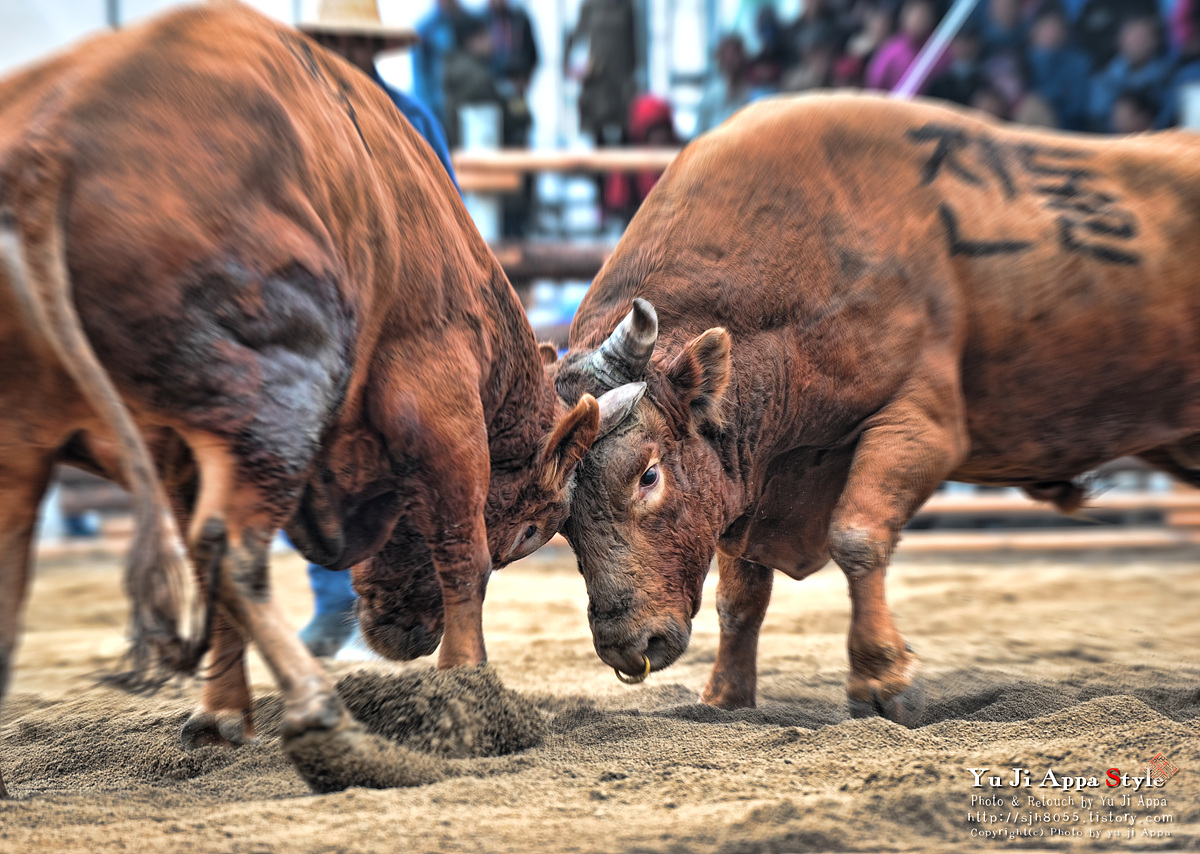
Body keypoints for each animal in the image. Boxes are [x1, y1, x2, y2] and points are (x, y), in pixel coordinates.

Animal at [0, 1, 640, 795]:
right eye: (532, 530)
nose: (409, 636)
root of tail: (54, 137)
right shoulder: (443, 409)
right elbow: (465, 556)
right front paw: (471, 700)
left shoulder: (174, 453)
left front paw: (219, 714)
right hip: (271, 397)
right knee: (231, 550)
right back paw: (328, 722)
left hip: (33, 436)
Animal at [552, 92, 1200, 725]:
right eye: (558, 517)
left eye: (647, 475)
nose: (625, 645)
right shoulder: (754, 470)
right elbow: (739, 594)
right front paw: (725, 696)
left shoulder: (921, 424)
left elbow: (857, 536)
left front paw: (884, 678)